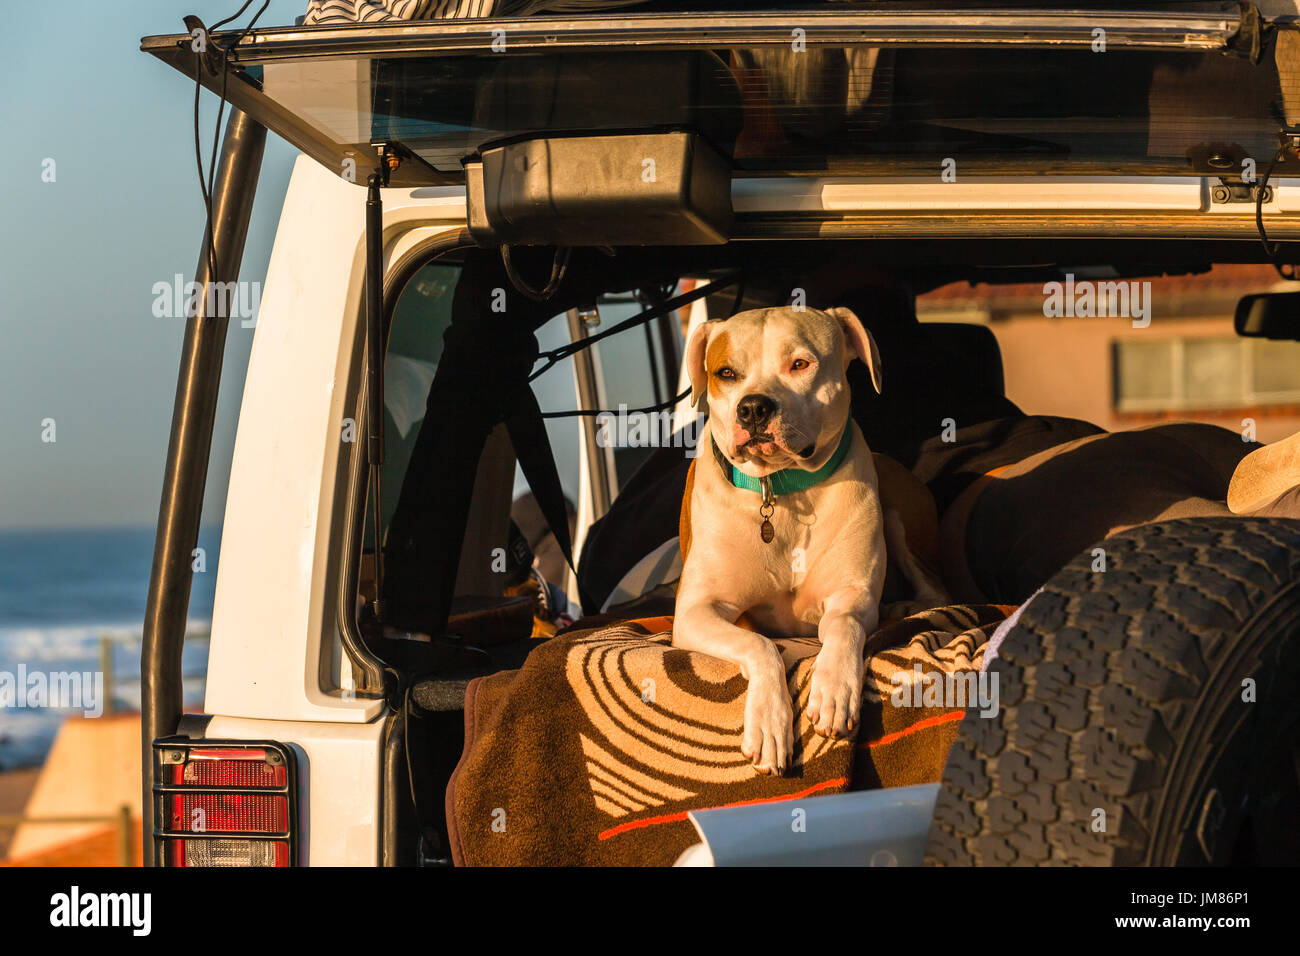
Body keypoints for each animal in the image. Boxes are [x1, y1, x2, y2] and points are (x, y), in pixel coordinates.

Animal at [670, 306, 946, 780]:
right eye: (726, 373)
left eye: (800, 364)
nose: (754, 407)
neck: (781, 489)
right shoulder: (696, 613)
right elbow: (759, 644)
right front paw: (768, 723)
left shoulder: (851, 594)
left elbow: (842, 624)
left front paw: (833, 688)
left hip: (898, 516)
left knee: (935, 588)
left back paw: (904, 608)